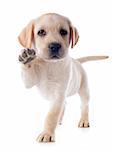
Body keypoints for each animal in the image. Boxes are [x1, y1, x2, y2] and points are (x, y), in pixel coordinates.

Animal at [18, 12, 108, 142]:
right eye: (41, 32)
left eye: (63, 32)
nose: (55, 46)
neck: (50, 64)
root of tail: (77, 61)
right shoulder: (30, 82)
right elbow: (28, 73)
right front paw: (27, 58)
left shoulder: (58, 94)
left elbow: (51, 116)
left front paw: (47, 133)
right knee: (64, 104)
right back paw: (60, 120)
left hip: (84, 90)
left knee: (84, 106)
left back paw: (84, 121)